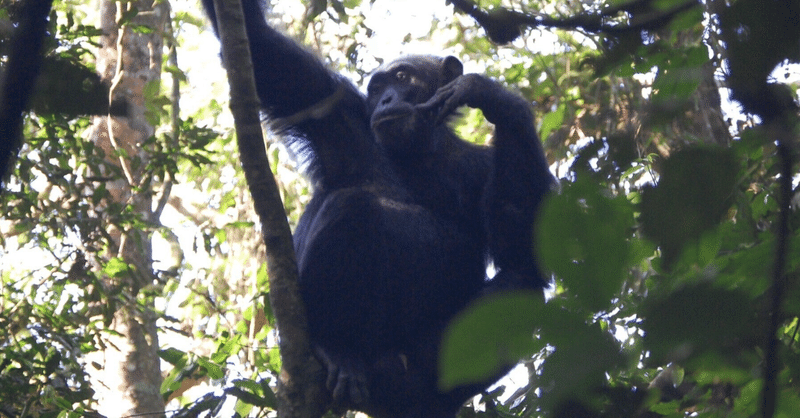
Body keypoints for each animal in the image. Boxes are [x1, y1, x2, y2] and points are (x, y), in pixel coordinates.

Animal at [203, 0, 552, 418]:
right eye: (377, 88)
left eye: (402, 77)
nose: (386, 100)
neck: (418, 151)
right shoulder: (334, 107)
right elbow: (260, 46)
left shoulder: (480, 166)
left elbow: (523, 249)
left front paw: (491, 95)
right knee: (356, 205)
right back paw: (335, 349)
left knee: (521, 286)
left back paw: (421, 396)